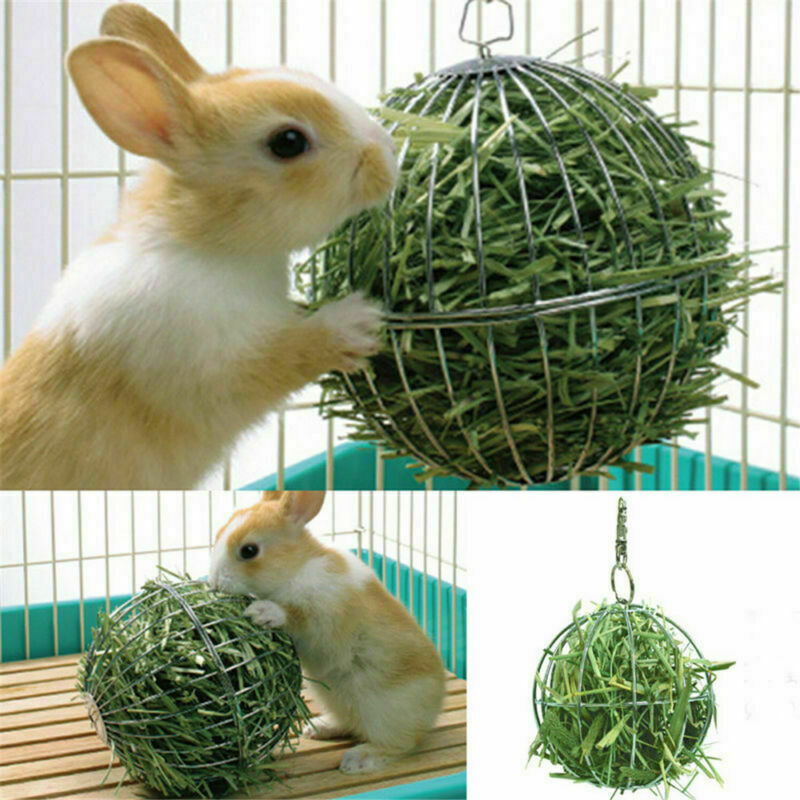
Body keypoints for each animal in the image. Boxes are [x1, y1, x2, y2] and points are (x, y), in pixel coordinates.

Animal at [0, 3, 397, 489]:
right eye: (288, 142)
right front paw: (358, 321)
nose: (388, 153)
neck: (205, 247)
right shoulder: (211, 364)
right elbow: (286, 355)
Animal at [208, 491, 446, 774]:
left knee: (401, 744)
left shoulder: (323, 616)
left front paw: (261, 612)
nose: (213, 582)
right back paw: (317, 729)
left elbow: (295, 616)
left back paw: (357, 760)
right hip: (335, 699)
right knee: (351, 724)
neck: (297, 567)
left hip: (384, 714)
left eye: (249, 550)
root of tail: (434, 708)